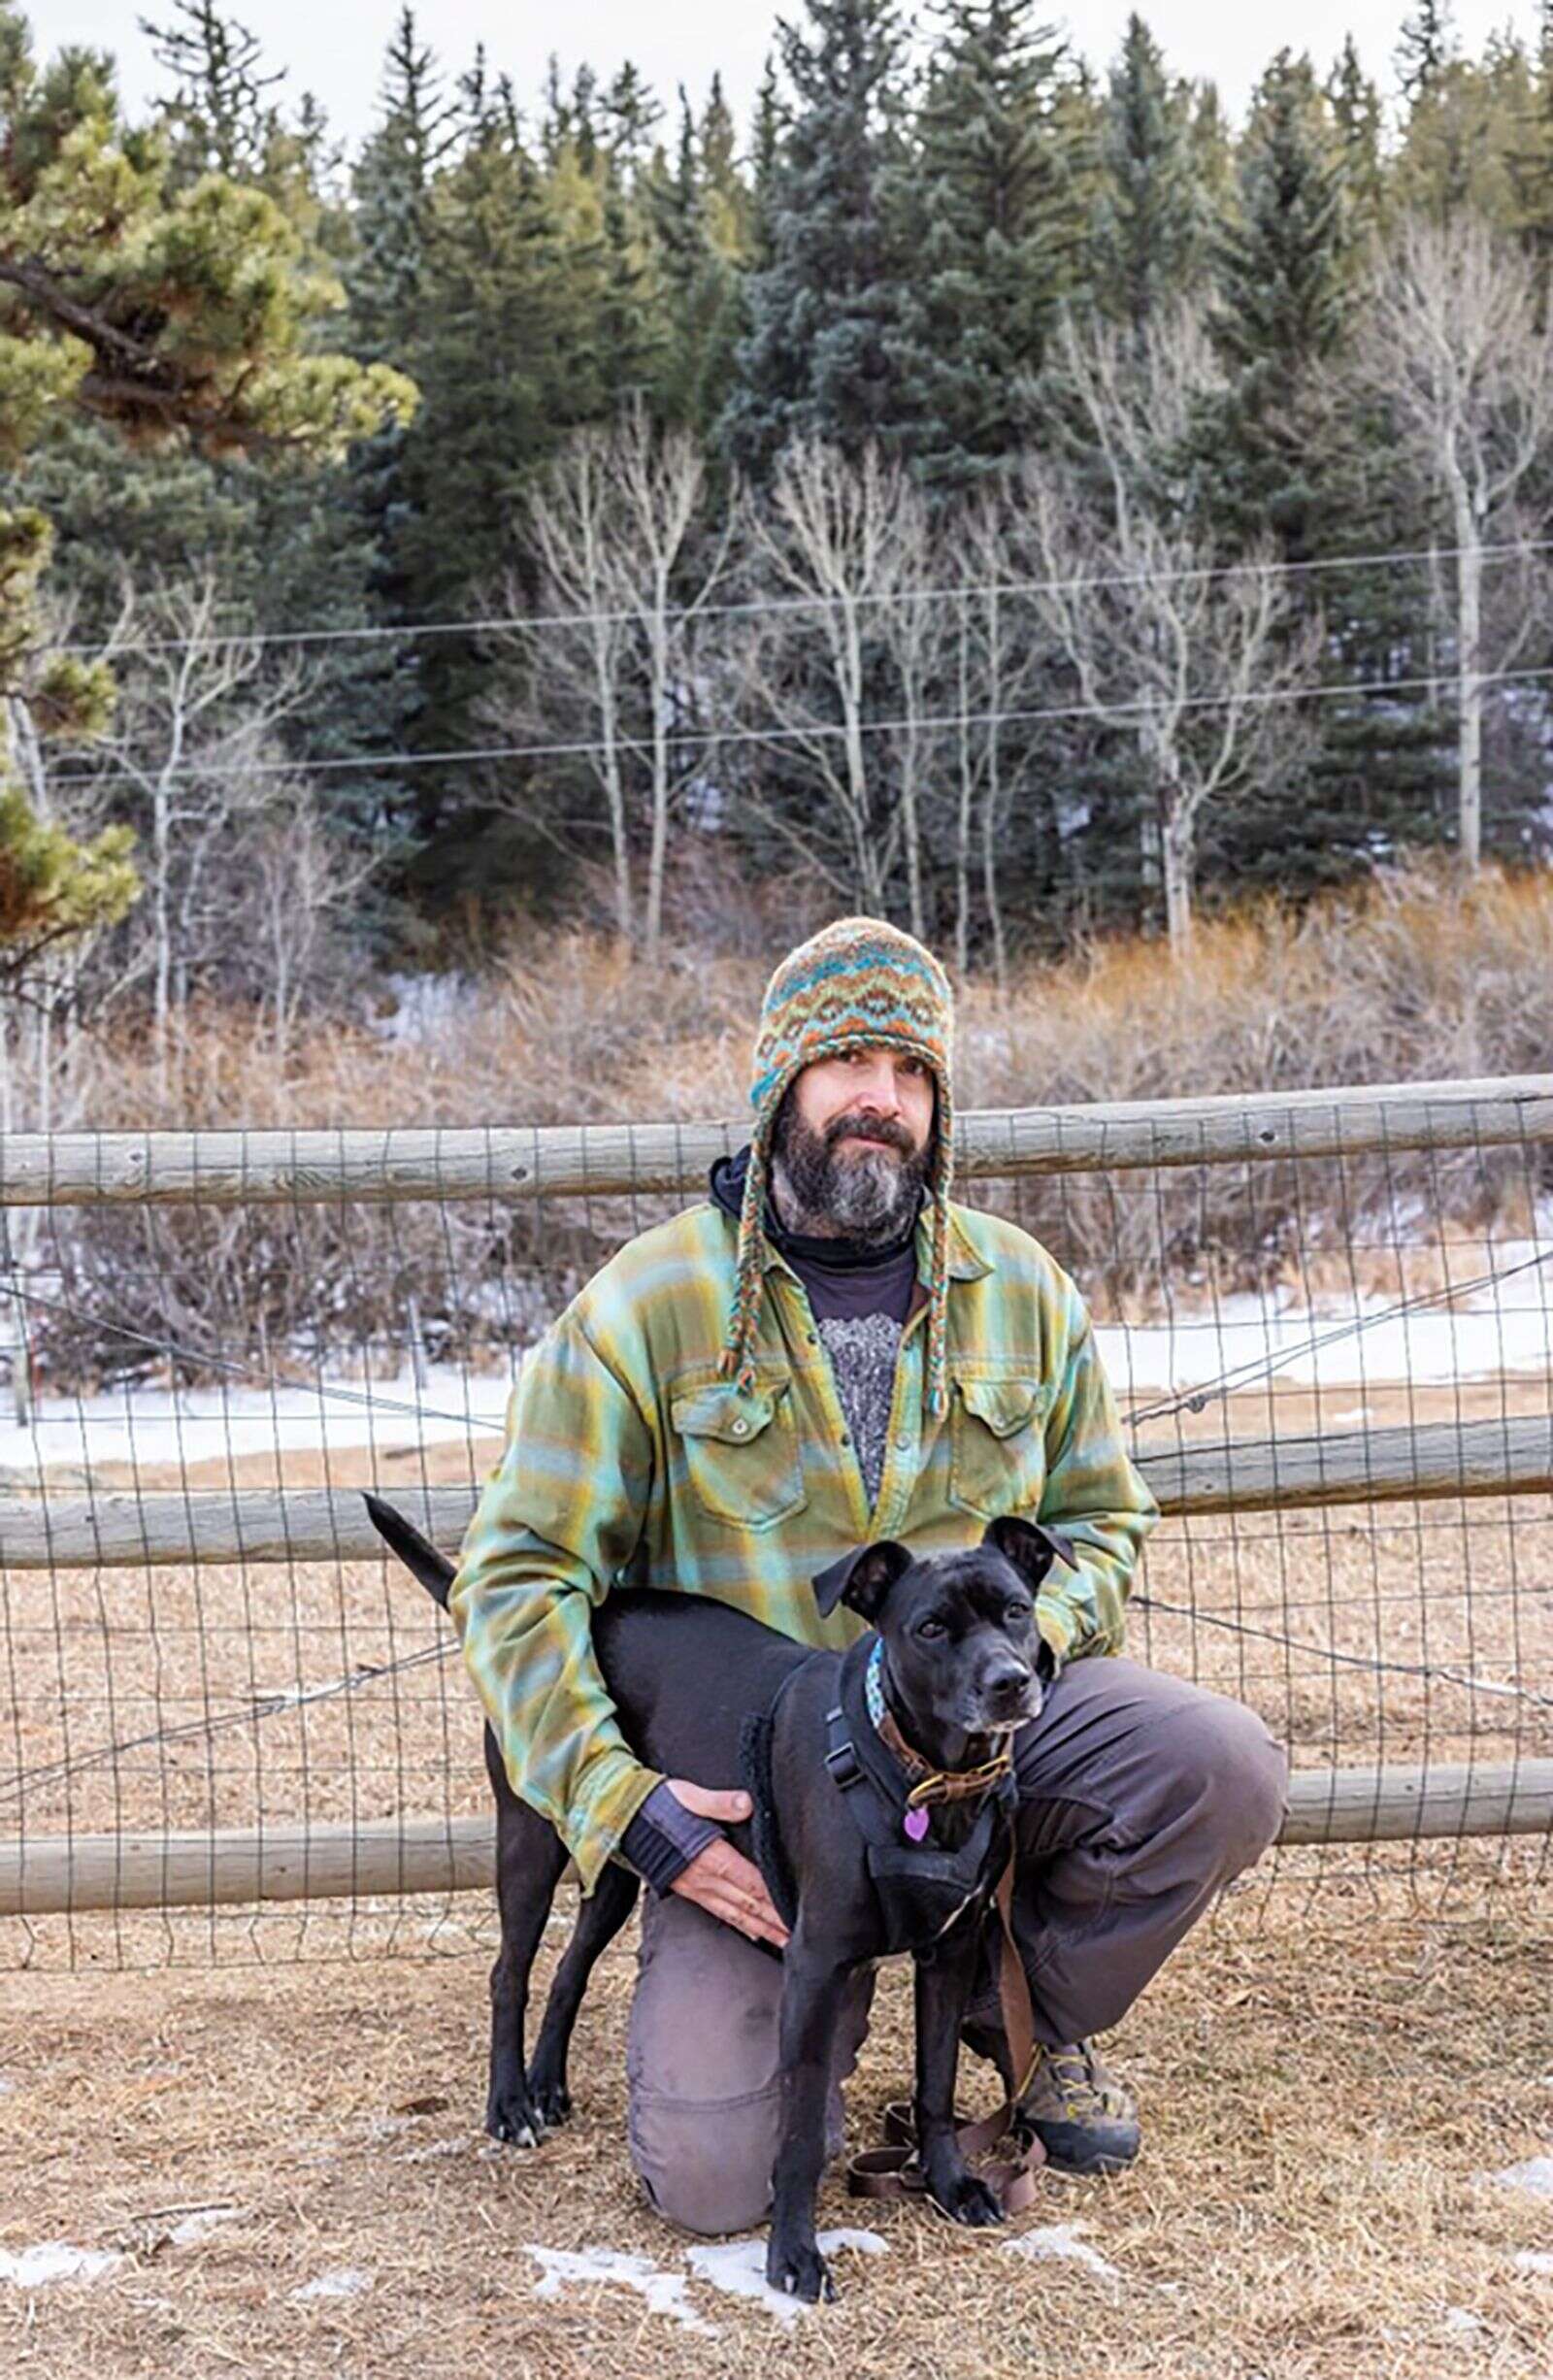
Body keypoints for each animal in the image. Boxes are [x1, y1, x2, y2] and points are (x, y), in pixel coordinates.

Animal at [366, 1494, 1065, 2294]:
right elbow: (797, 2129)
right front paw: (793, 2254)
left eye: (1015, 1610)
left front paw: (951, 2184)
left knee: (571, 1968)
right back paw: (511, 2103)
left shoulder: (950, 1950)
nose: (1010, 1681)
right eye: (930, 1628)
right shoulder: (814, 1968)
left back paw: (546, 2084)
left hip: (623, 1847)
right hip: (533, 1836)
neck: (923, 1778)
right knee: (510, 1972)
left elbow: (937, 2085)